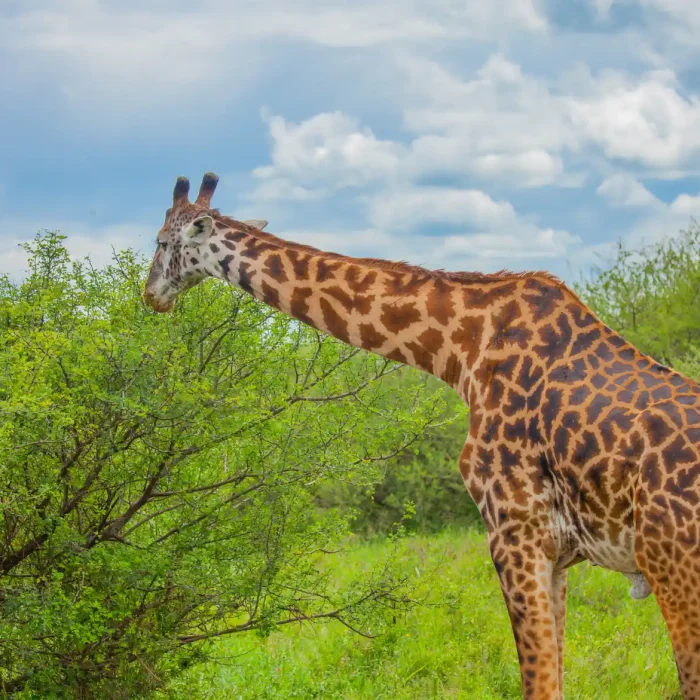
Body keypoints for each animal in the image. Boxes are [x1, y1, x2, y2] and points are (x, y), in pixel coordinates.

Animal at [143, 173, 700, 699]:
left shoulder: (515, 529)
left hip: (672, 570)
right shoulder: (556, 552)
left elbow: (539, 683)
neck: (461, 349)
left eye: (161, 240)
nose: (150, 295)